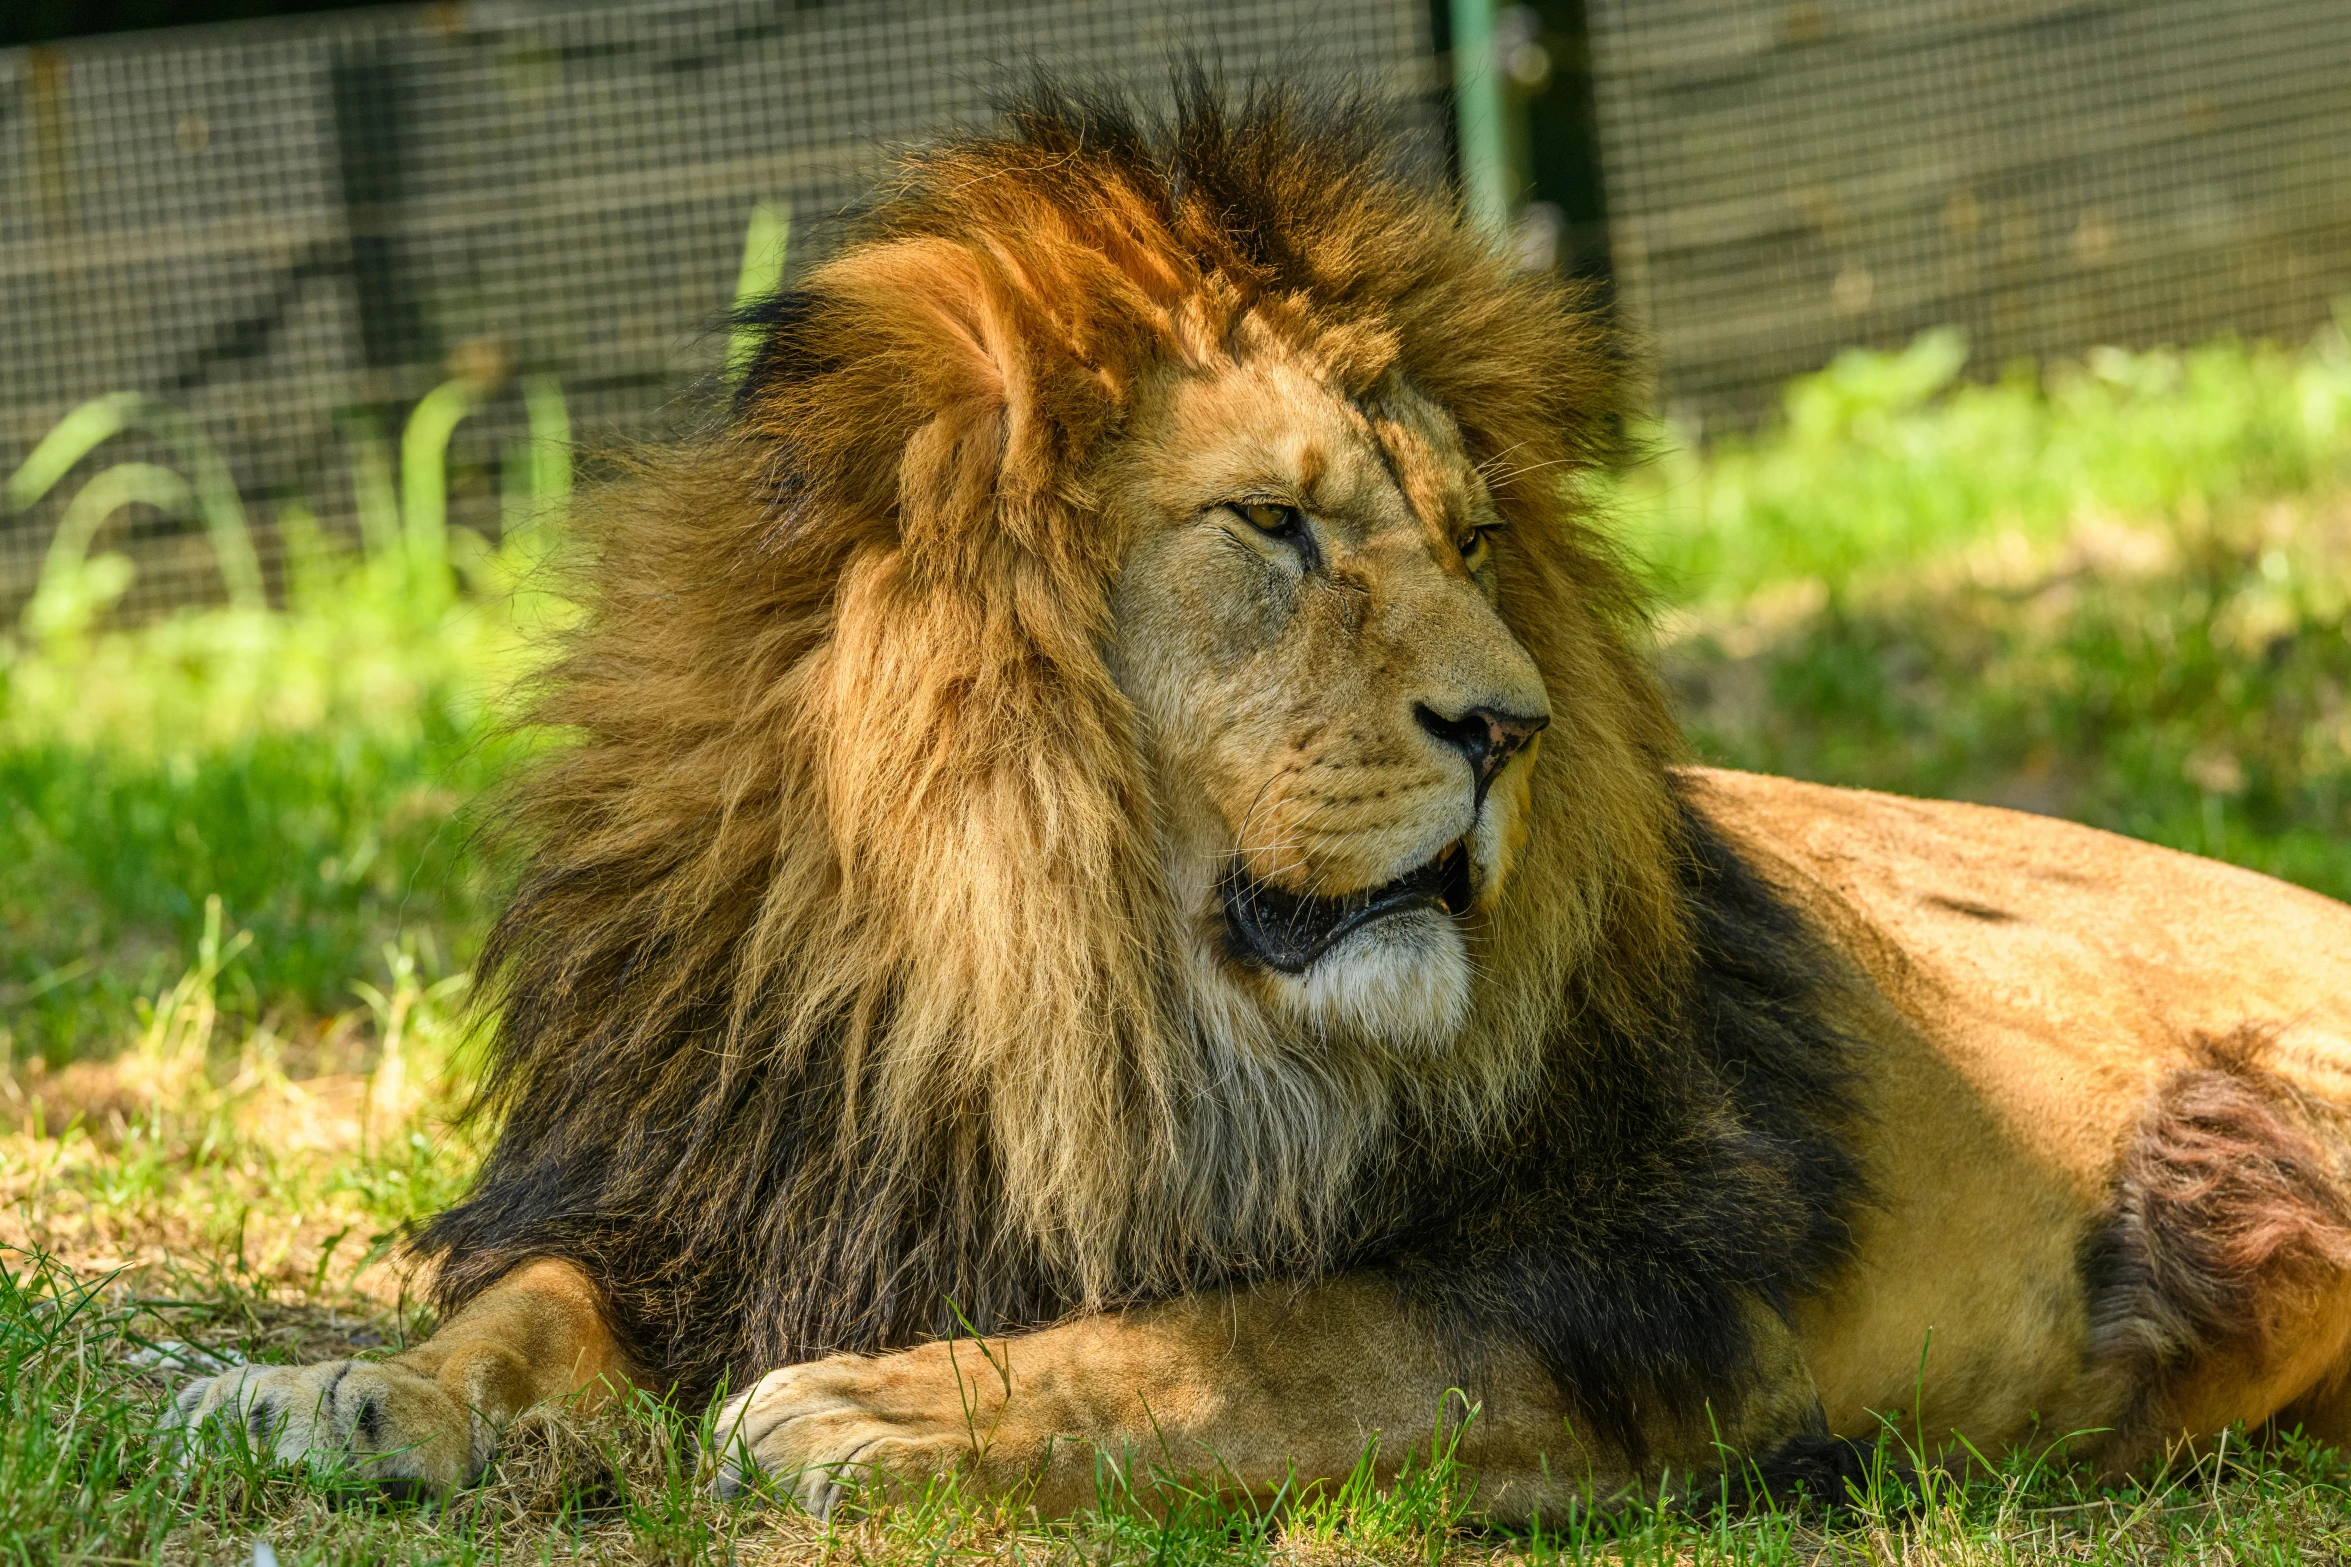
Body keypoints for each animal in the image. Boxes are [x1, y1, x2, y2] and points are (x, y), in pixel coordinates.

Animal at [165, 82, 2351, 1522]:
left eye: (1471, 539)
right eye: (1278, 529)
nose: (1508, 724)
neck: (1038, 982)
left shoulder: (1624, 1257)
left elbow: (1271, 1331)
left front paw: (887, 1412)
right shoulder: (716, 1178)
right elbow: (527, 1303)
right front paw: (342, 1390)